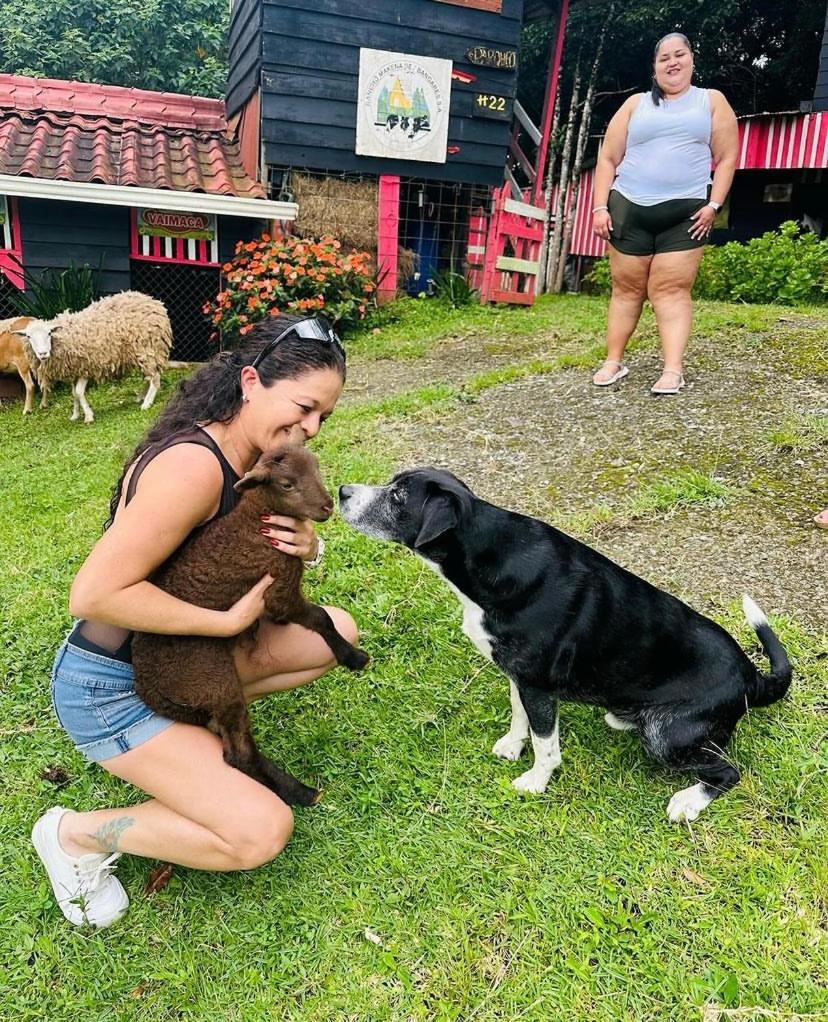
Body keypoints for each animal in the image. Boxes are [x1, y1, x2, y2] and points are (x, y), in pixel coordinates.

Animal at [12, 292, 170, 423]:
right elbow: (73, 393)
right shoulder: (73, 370)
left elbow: (79, 392)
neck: (65, 337)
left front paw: (88, 416)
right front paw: (75, 415)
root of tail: (153, 301)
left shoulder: (85, 367)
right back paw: (142, 397)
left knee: (154, 376)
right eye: (28, 336)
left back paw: (147, 403)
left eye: (49, 333)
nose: (43, 354)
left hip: (147, 347)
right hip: (143, 353)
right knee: (149, 376)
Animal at [131, 445, 368, 805]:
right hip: (212, 680)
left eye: (316, 468)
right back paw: (299, 792)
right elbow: (321, 618)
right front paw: (353, 657)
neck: (259, 520)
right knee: (237, 754)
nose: (327, 506)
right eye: (286, 484)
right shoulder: (278, 589)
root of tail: (149, 690)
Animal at [339, 470, 789, 821]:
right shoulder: (519, 677)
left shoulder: (537, 684)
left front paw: (536, 781)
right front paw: (512, 746)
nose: (342, 490)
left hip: (668, 735)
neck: (488, 558)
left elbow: (545, 743)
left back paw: (688, 802)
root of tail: (752, 678)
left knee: (728, 772)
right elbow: (519, 715)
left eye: (398, 497)